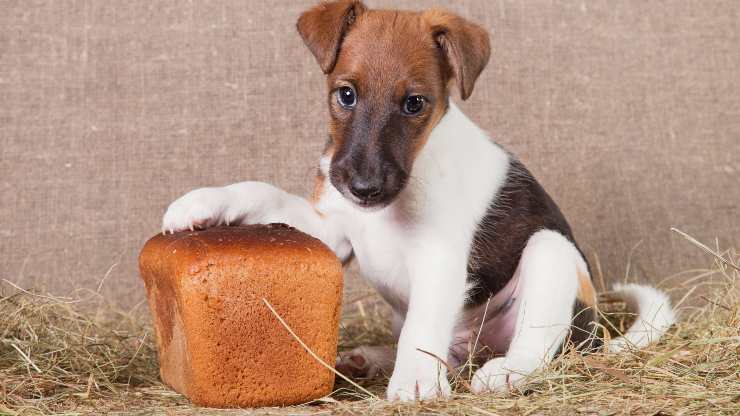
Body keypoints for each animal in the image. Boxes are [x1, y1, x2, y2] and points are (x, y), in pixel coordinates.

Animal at [162, 0, 676, 404]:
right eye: (345, 95)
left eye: (414, 104)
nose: (364, 188)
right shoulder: (331, 227)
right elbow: (262, 191)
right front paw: (202, 202)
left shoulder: (439, 258)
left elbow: (422, 327)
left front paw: (414, 383)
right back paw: (368, 358)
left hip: (549, 253)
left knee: (537, 343)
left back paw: (503, 372)